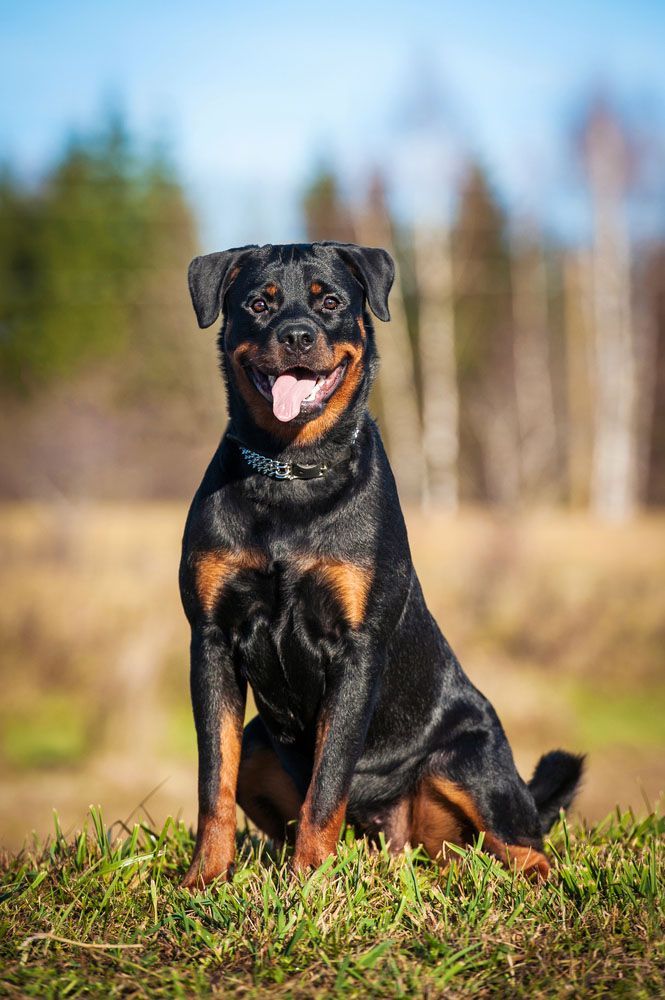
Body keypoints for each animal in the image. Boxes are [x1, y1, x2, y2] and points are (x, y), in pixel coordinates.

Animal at [178, 244, 580, 892]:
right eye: (259, 303)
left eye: (331, 302)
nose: (296, 334)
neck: (291, 473)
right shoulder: (212, 637)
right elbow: (214, 778)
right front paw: (205, 880)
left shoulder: (357, 647)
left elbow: (327, 783)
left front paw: (309, 884)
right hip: (264, 742)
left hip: (467, 762)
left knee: (524, 846)